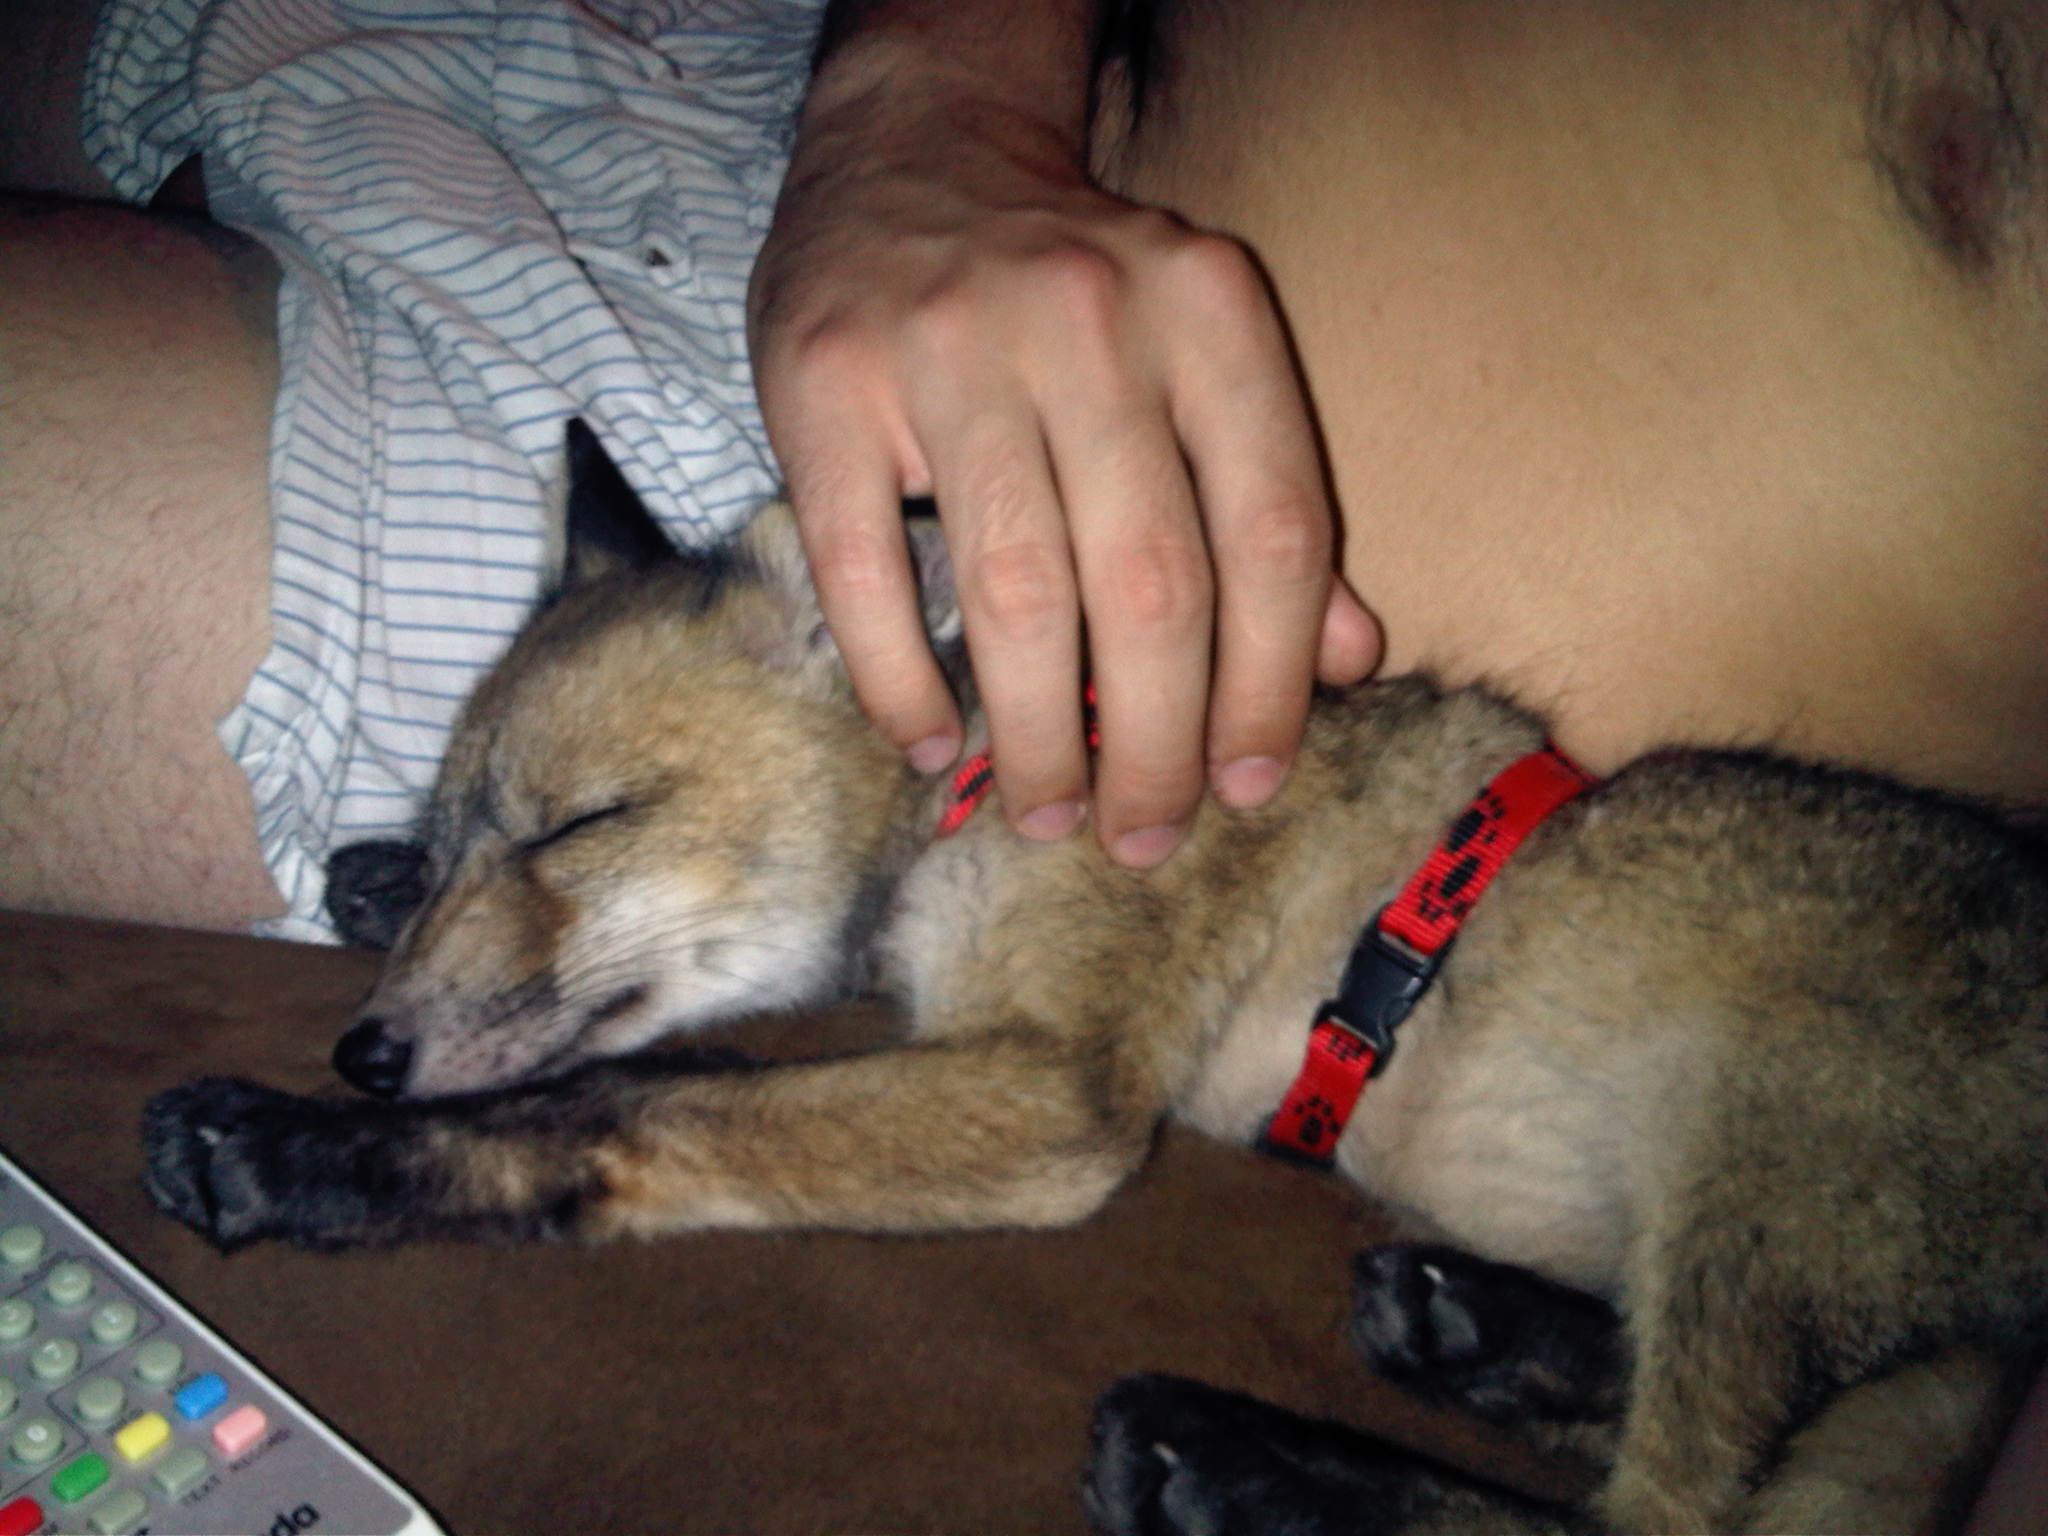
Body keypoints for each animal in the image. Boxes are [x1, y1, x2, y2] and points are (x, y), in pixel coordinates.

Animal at [144, 418, 2048, 1536]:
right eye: (467, 828)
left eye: (581, 825)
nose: (367, 1052)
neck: (1000, 764)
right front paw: (367, 890)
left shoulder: (1053, 1089)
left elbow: (629, 1094)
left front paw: (308, 1151)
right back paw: (1470, 1325)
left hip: (1758, 1185)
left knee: (1656, 1529)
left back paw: (1244, 1461)